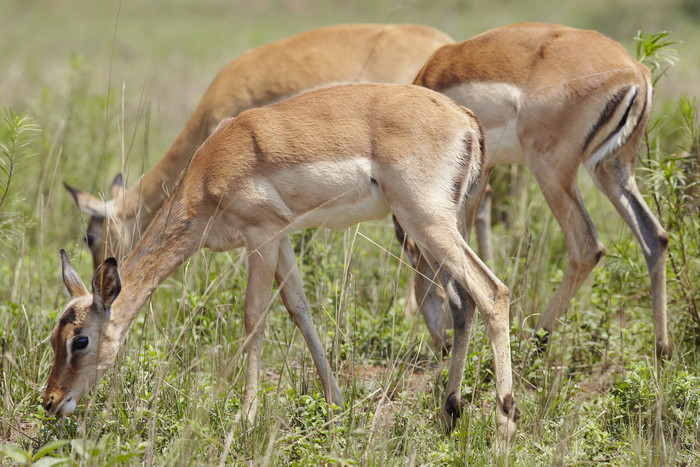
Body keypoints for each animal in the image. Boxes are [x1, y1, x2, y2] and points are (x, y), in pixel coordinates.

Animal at [43, 83, 520, 442]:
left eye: (80, 340)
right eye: (53, 337)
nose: (50, 401)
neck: (208, 173)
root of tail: (464, 118)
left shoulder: (261, 237)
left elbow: (254, 316)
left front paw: (245, 417)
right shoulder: (284, 239)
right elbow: (299, 309)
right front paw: (336, 404)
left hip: (427, 222)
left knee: (493, 292)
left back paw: (504, 423)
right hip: (430, 228)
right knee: (463, 303)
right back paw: (449, 413)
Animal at [408, 21, 668, 358]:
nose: (443, 344)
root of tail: (636, 72)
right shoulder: (482, 174)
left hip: (551, 171)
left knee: (588, 246)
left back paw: (536, 341)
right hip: (611, 170)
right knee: (655, 237)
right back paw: (662, 350)